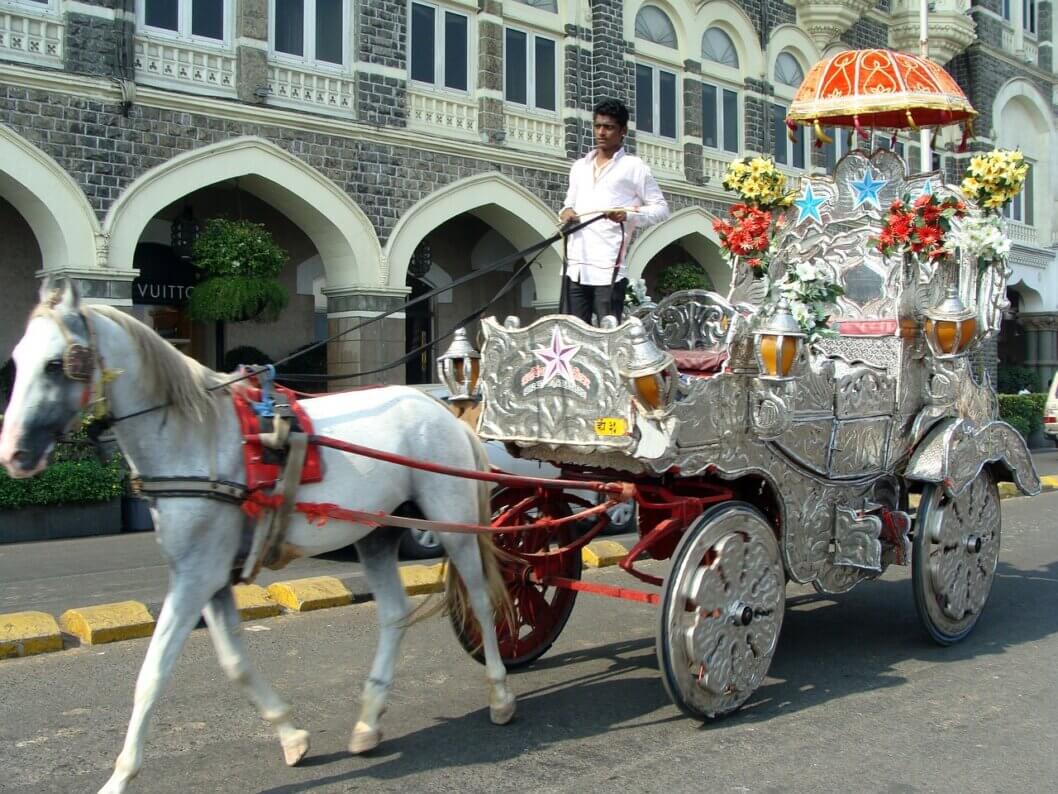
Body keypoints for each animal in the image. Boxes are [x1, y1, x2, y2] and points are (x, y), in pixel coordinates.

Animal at [0, 281, 516, 794]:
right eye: (18, 358)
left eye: (55, 364)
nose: (15, 454)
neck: (198, 440)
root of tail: (441, 408)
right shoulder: (210, 577)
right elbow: (234, 662)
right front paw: (291, 733)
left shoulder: (195, 578)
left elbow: (152, 674)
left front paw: (122, 775)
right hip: (377, 531)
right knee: (393, 612)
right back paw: (369, 720)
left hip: (452, 522)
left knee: (479, 599)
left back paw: (500, 692)